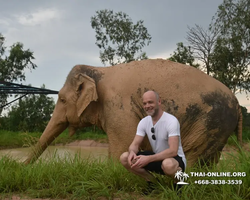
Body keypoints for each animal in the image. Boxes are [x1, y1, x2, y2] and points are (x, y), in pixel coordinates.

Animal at [24, 58, 241, 166]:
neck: (98, 71)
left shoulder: (118, 107)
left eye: (62, 99)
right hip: (218, 129)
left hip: (209, 123)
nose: (21, 166)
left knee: (193, 156)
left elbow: (122, 146)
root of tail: (238, 102)